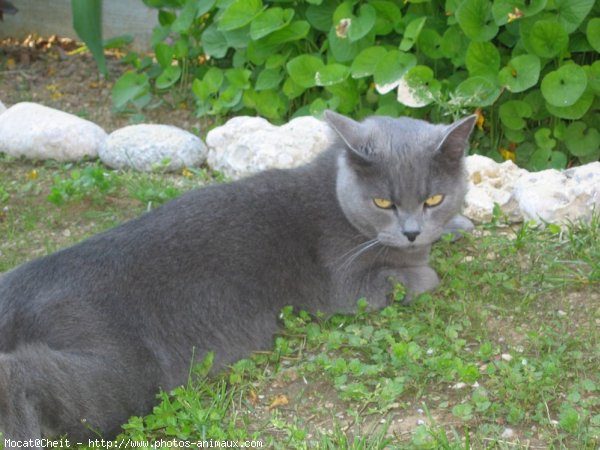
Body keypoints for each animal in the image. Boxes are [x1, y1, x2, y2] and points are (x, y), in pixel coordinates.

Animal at [1, 111, 478, 446]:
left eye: (434, 198)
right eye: (382, 202)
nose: (412, 231)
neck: (334, 193)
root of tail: (21, 284)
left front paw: (457, 226)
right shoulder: (346, 287)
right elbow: (424, 276)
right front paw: (426, 261)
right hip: (123, 371)